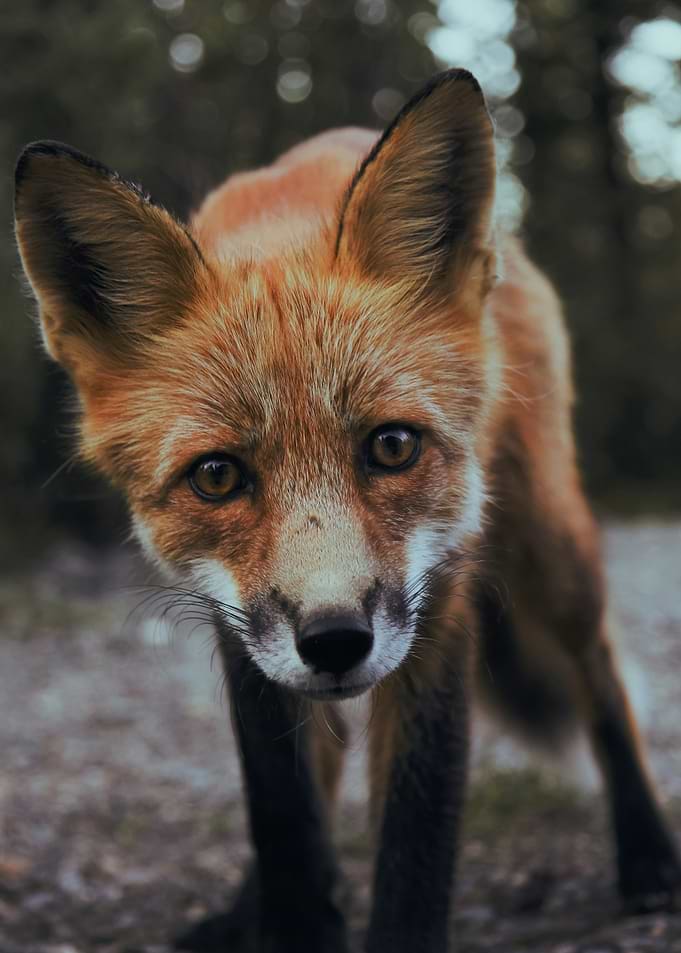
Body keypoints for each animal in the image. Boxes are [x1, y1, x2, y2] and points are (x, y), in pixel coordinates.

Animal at [14, 69, 681, 953]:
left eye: (391, 446)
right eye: (217, 476)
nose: (334, 640)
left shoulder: (439, 606)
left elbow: (415, 835)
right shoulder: (240, 628)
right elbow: (285, 814)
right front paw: (291, 913)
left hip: (551, 542)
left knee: (598, 670)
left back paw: (647, 853)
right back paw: (247, 906)